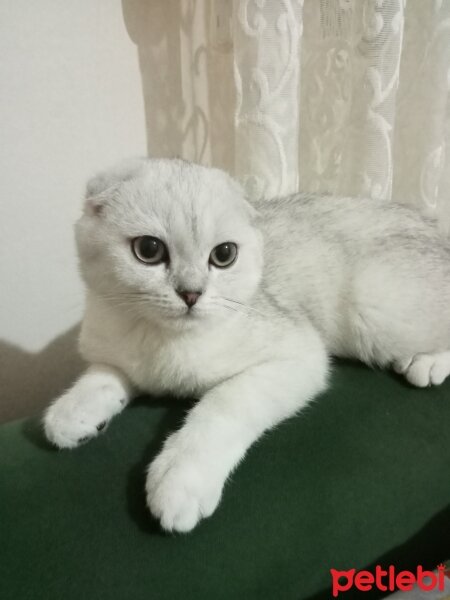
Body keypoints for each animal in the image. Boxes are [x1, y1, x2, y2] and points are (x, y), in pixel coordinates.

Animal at [43, 157, 450, 532]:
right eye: (148, 249)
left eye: (224, 255)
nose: (191, 293)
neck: (161, 341)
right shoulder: (113, 354)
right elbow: (101, 378)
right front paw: (72, 413)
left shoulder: (298, 355)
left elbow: (221, 404)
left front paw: (180, 479)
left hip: (376, 308)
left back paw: (427, 363)